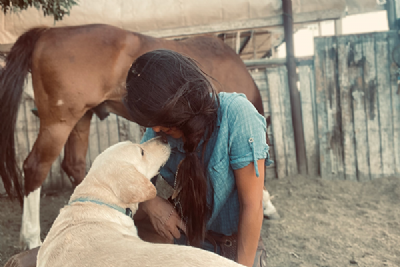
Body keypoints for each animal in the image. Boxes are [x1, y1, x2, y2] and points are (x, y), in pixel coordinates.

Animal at [0, 23, 268, 251]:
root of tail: (48, 32)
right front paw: (266, 200)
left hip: (82, 117)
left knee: (73, 164)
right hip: (60, 121)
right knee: (35, 167)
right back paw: (32, 237)